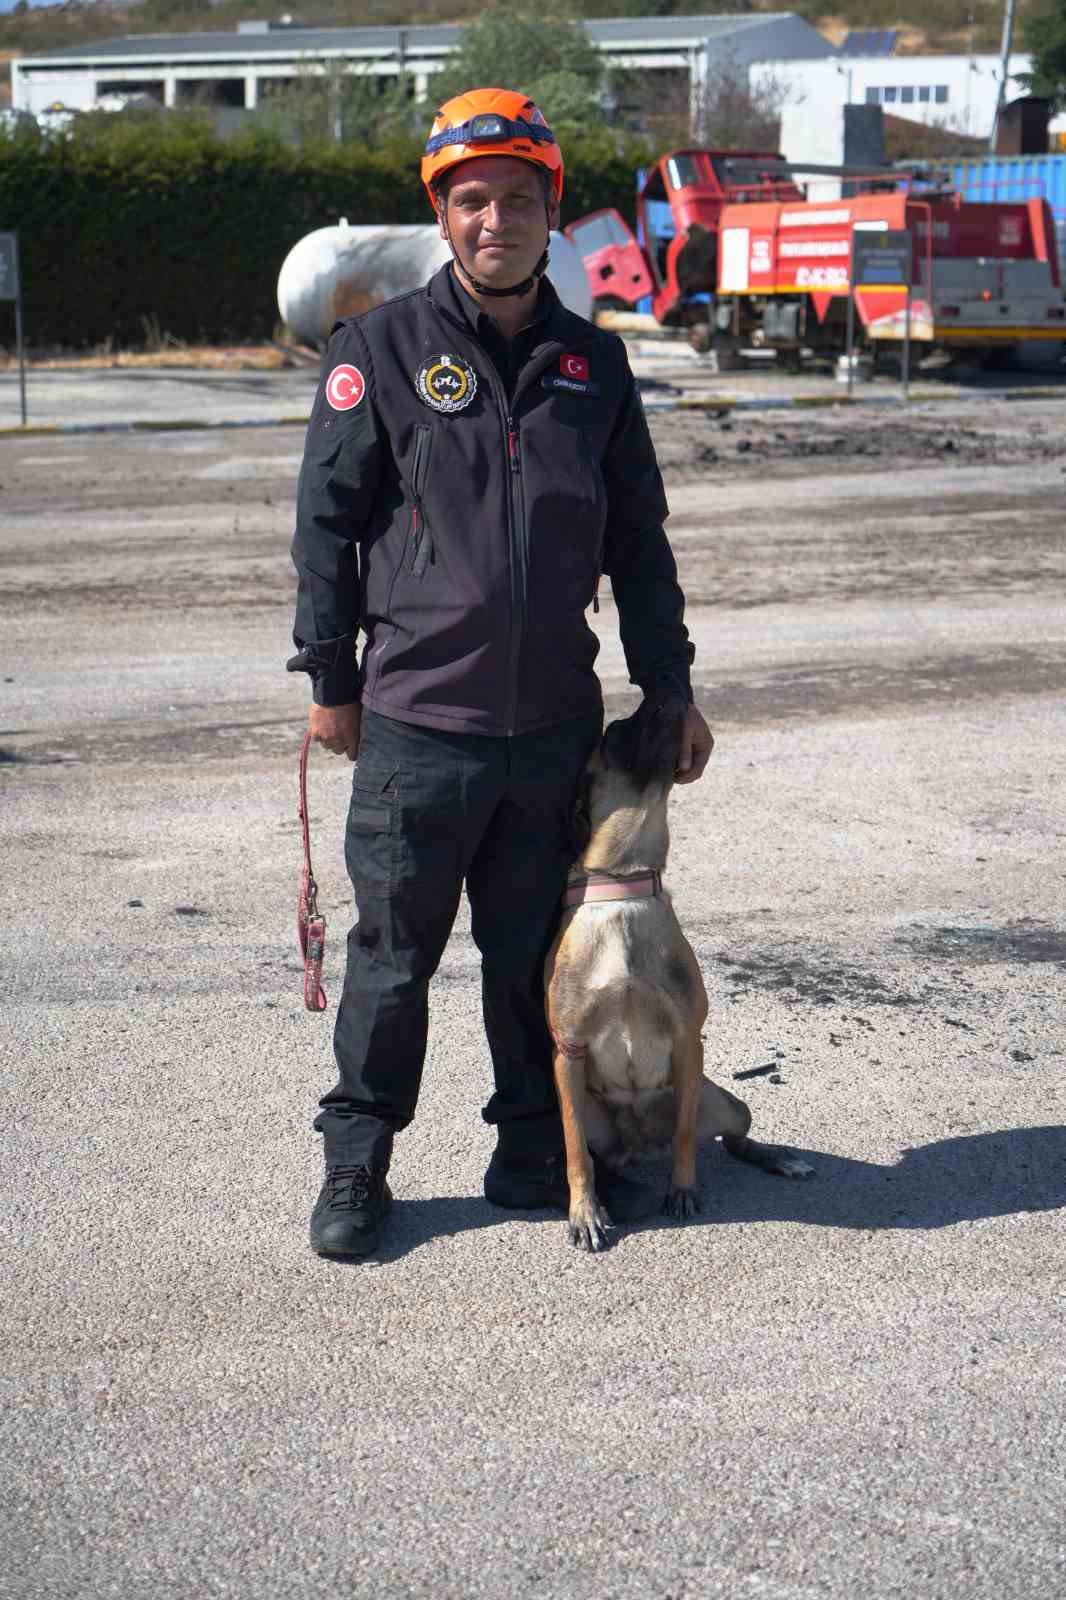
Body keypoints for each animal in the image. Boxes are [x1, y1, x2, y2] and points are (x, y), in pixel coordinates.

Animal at [544, 697, 809, 1248]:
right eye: (616, 733)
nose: (673, 697)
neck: (623, 884)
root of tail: (641, 1146)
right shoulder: (569, 1051)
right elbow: (576, 1152)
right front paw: (585, 1212)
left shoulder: (689, 1040)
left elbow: (687, 1135)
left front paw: (683, 1190)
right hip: (591, 1109)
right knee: (596, 1152)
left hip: (720, 1098)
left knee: (733, 1137)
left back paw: (779, 1159)